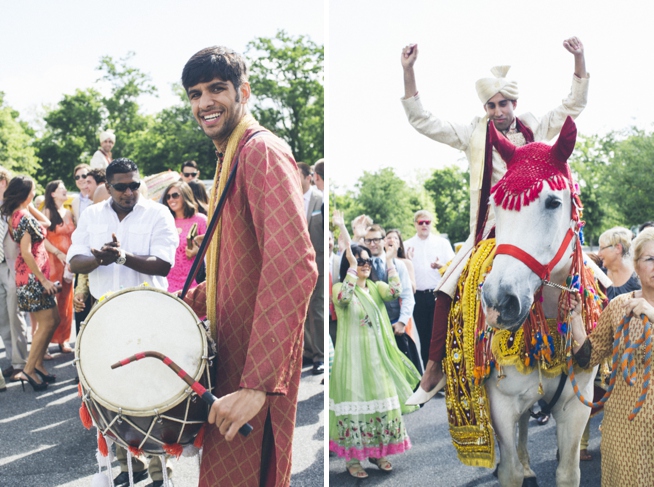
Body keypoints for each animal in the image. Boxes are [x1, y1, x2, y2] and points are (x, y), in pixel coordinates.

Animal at [482, 118, 600, 487]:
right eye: (496, 205)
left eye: (552, 203)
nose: (499, 300)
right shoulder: (501, 406)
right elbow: (509, 472)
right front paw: (517, 468)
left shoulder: (576, 405)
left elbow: (568, 471)